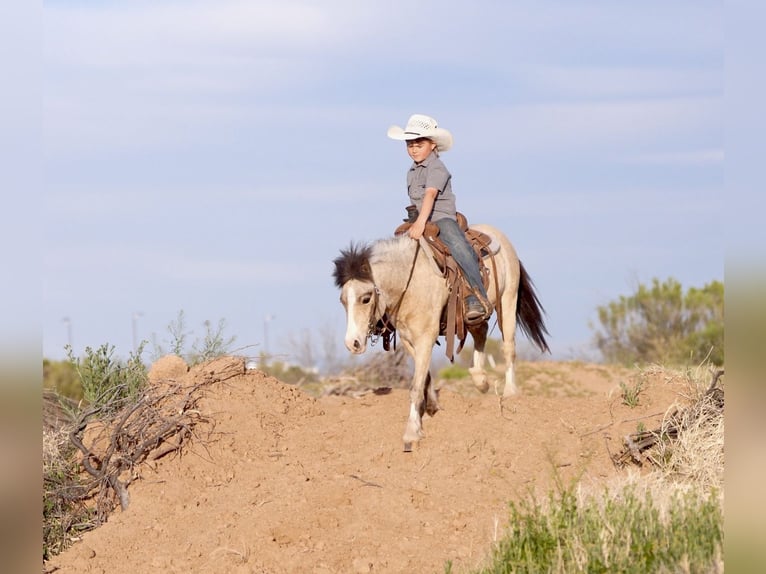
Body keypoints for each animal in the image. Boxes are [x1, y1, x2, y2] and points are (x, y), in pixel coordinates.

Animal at [332, 223, 550, 451]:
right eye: (342, 300)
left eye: (366, 298)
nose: (352, 343)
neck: (411, 282)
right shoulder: (409, 339)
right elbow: (424, 376)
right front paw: (431, 406)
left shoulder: (425, 337)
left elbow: (416, 386)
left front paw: (411, 433)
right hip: (472, 317)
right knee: (481, 332)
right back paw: (480, 380)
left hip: (508, 300)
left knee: (508, 347)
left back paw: (510, 392)